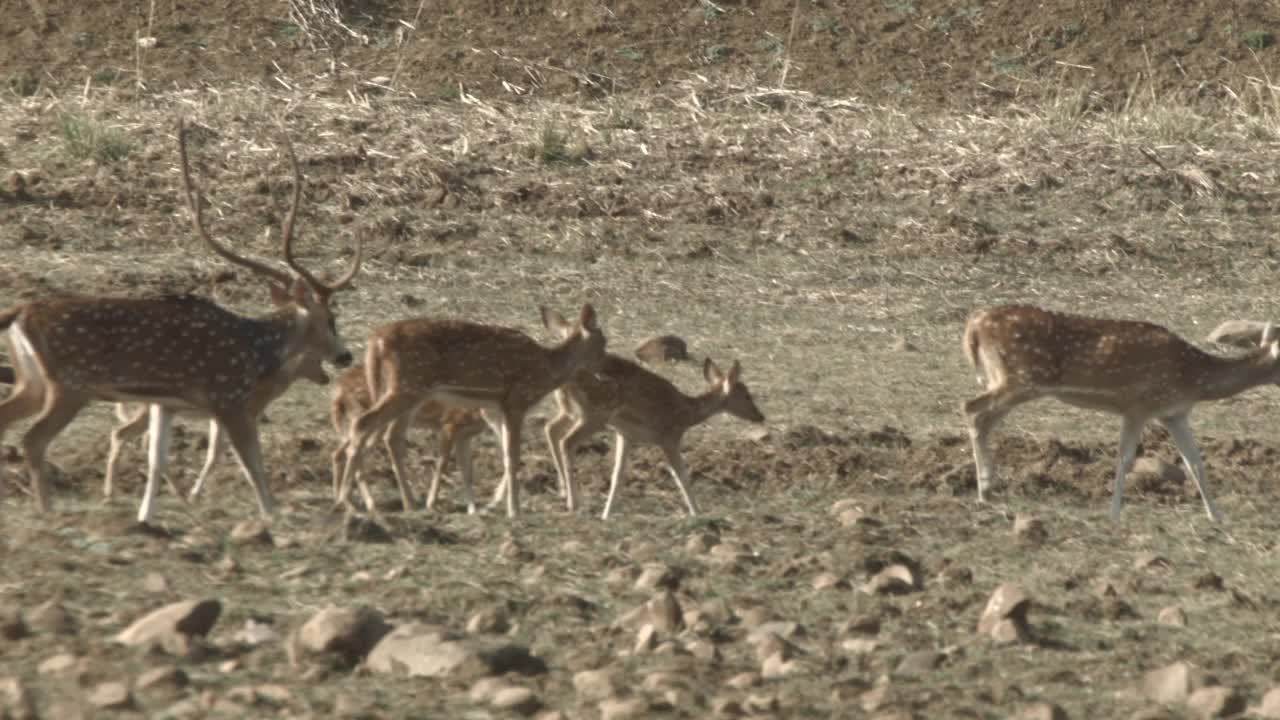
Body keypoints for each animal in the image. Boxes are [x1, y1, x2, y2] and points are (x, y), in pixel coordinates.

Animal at [0, 120, 360, 517]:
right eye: (331, 318)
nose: (346, 355)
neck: (255, 350)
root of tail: (19, 313)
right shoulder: (228, 397)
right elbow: (252, 465)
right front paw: (270, 516)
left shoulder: (167, 403)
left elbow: (157, 459)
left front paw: (146, 517)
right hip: (70, 385)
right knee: (33, 439)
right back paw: (46, 511)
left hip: (32, 382)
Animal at [327, 363, 491, 509]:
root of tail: (339, 389)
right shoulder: (449, 425)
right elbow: (442, 464)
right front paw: (431, 503)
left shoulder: (464, 436)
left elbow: (468, 472)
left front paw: (473, 509)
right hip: (367, 416)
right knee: (356, 449)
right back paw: (366, 503)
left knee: (339, 452)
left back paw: (345, 500)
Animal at [962, 302, 1280, 520]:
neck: (1193, 378)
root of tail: (973, 327)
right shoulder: (1138, 405)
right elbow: (1125, 459)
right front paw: (1114, 514)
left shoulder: (1174, 412)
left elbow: (1195, 462)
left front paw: (1217, 516)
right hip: (1018, 380)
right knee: (972, 410)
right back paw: (983, 491)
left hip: (1010, 382)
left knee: (983, 419)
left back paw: (988, 488)